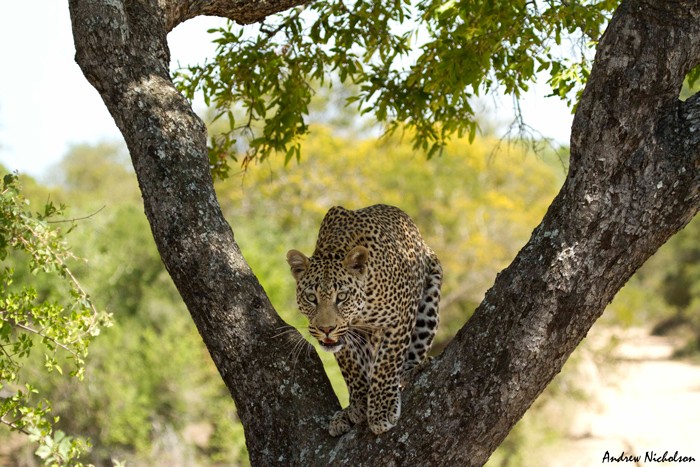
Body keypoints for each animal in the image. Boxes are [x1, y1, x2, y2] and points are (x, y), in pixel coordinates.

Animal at [286, 205, 440, 436]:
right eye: (311, 298)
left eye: (341, 296)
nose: (326, 329)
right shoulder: (346, 336)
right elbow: (352, 368)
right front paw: (358, 404)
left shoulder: (400, 318)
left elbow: (386, 363)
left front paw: (382, 410)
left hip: (430, 299)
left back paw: (409, 373)